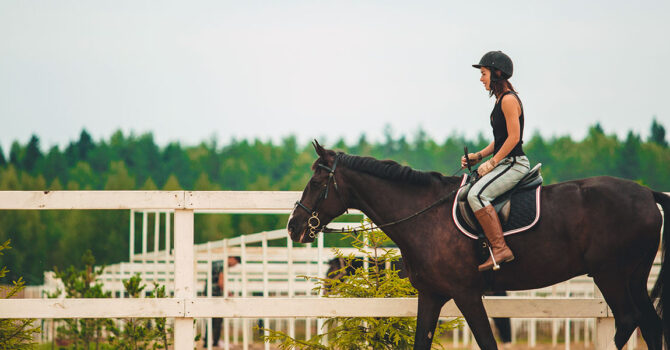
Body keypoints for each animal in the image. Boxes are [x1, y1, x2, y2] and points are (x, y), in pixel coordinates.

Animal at [288, 141, 670, 348]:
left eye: (317, 181)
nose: (294, 227)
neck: (425, 216)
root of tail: (646, 193)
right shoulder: (432, 295)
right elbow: (421, 341)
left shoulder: (467, 293)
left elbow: (487, 342)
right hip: (634, 276)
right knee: (650, 325)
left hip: (611, 275)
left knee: (627, 322)